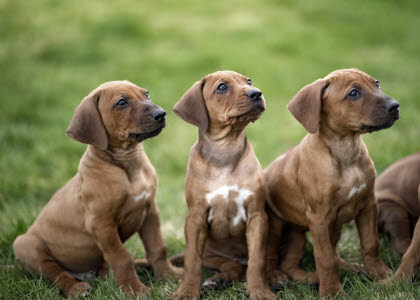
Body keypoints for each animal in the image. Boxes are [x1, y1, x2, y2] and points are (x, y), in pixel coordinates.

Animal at [12, 79, 180, 298]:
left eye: (146, 93)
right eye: (122, 102)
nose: (161, 114)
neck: (128, 164)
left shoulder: (150, 210)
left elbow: (158, 247)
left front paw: (170, 275)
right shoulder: (101, 224)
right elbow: (122, 258)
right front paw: (134, 290)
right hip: (25, 245)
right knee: (55, 272)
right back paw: (77, 289)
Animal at [171, 71, 276, 298]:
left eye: (248, 81)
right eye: (222, 87)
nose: (256, 93)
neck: (225, 151)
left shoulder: (257, 216)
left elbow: (257, 261)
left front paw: (260, 291)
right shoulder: (195, 219)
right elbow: (192, 261)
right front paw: (187, 291)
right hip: (211, 254)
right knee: (231, 266)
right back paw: (216, 280)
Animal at [264, 68, 398, 298]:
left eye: (377, 84)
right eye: (354, 93)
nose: (395, 106)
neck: (345, 152)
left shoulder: (368, 205)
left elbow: (370, 244)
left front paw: (380, 273)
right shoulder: (319, 218)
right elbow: (325, 259)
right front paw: (332, 292)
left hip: (308, 233)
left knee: (294, 263)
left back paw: (331, 273)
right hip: (275, 225)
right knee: (272, 259)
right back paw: (278, 278)